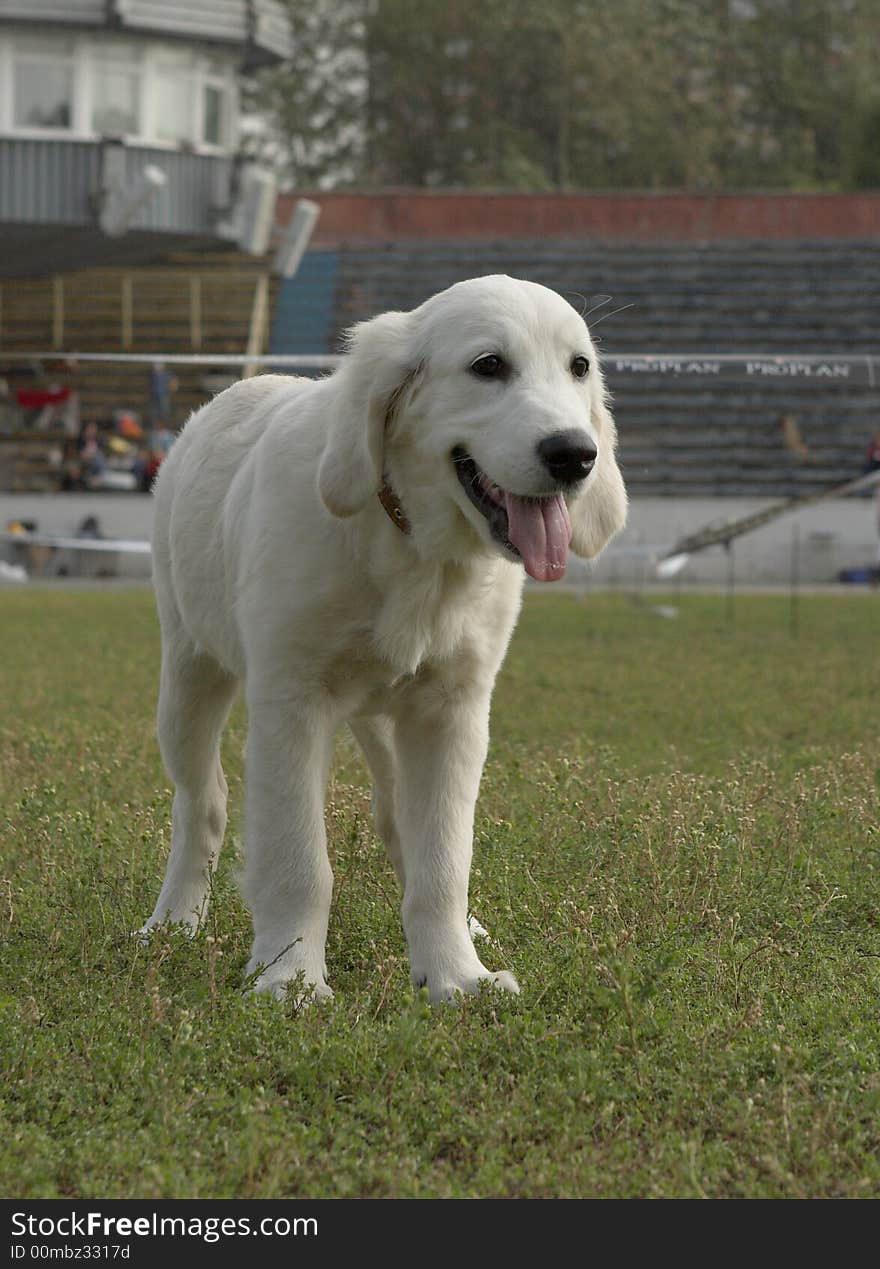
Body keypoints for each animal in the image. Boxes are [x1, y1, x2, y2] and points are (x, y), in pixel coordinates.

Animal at [142, 275, 624, 999]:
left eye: (579, 367)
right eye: (488, 366)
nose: (574, 454)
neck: (413, 548)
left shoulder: (454, 711)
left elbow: (443, 858)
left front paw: (456, 975)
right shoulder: (289, 701)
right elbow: (296, 860)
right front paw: (289, 979)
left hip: (387, 720)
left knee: (399, 822)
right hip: (189, 673)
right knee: (203, 803)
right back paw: (173, 920)